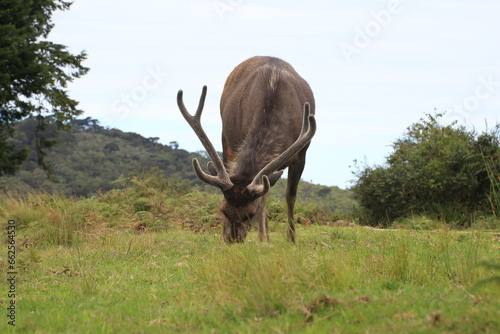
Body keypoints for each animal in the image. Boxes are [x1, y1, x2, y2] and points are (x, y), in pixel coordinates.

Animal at [178, 55, 314, 243]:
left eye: (250, 214)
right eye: (223, 210)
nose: (232, 239)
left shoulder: (301, 154)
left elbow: (290, 196)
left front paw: (291, 240)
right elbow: (264, 196)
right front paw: (263, 239)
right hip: (226, 138)